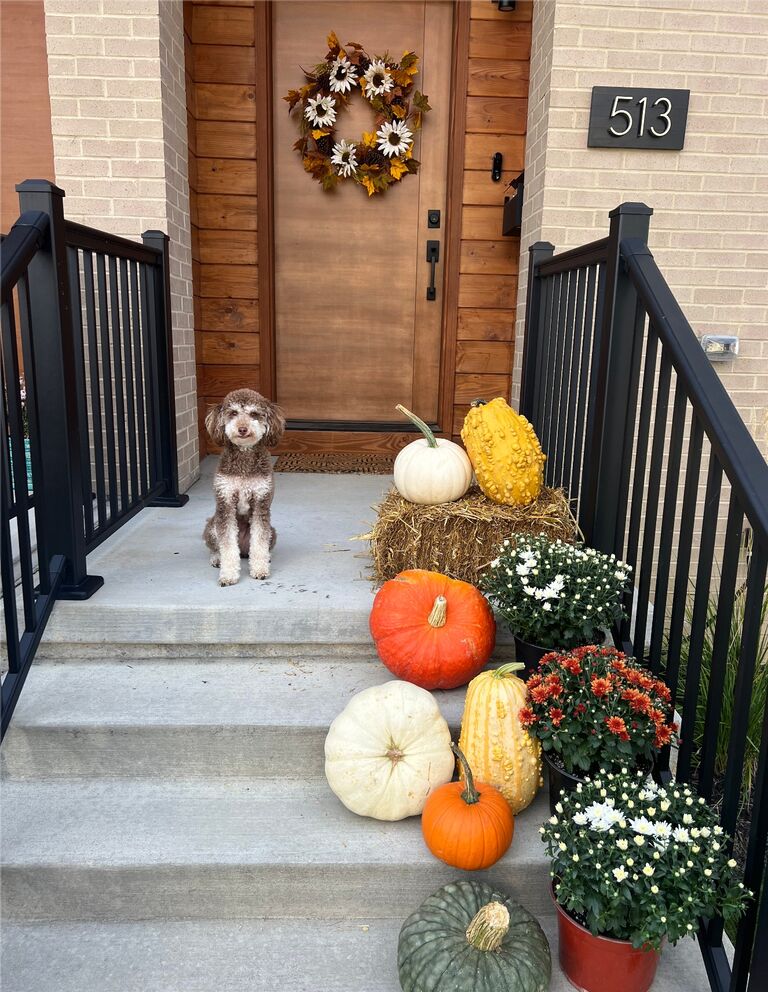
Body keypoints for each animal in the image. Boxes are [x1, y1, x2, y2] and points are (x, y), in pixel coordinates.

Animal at [202, 388, 286, 584]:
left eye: (254, 414)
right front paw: (228, 575)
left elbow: (260, 543)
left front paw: (260, 569)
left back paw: (267, 558)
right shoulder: (225, 503)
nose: (242, 429)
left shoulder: (260, 504)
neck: (244, 457)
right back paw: (216, 558)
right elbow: (227, 546)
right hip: (212, 527)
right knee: (217, 547)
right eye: (233, 413)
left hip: (272, 532)